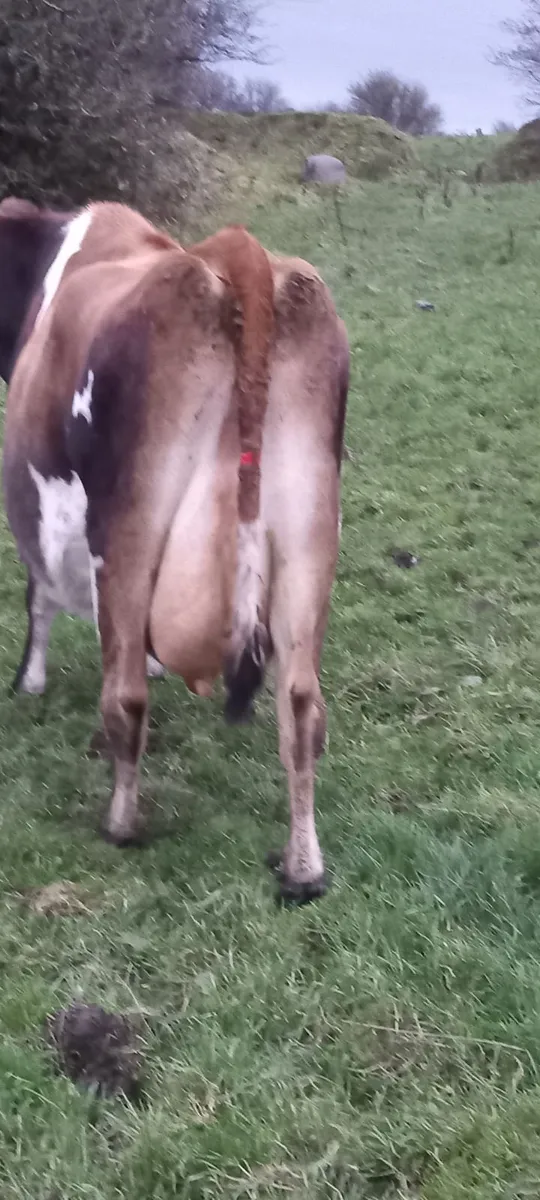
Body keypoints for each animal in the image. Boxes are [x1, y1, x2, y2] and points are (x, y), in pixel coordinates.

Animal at [0, 196, 349, 904]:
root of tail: (239, 257)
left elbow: (37, 595)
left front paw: (30, 682)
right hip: (310, 532)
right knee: (303, 706)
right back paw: (303, 868)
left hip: (126, 529)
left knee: (126, 696)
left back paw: (120, 822)